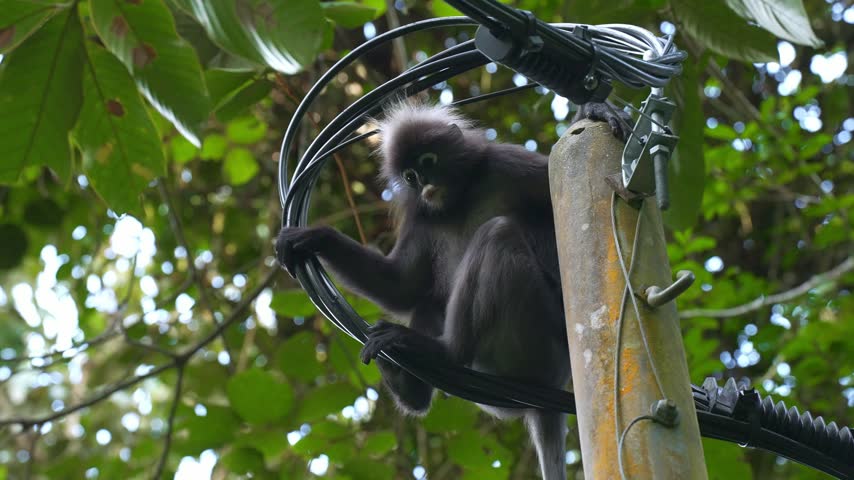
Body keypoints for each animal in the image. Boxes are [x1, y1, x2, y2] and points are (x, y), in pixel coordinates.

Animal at [277, 100, 631, 480]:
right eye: (410, 177)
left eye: (428, 161)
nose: (425, 184)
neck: (460, 197)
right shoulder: (420, 214)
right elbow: (403, 286)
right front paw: (316, 238)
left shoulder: (510, 163)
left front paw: (593, 111)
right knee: (429, 302)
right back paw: (409, 388)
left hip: (542, 346)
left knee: (497, 235)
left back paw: (441, 350)